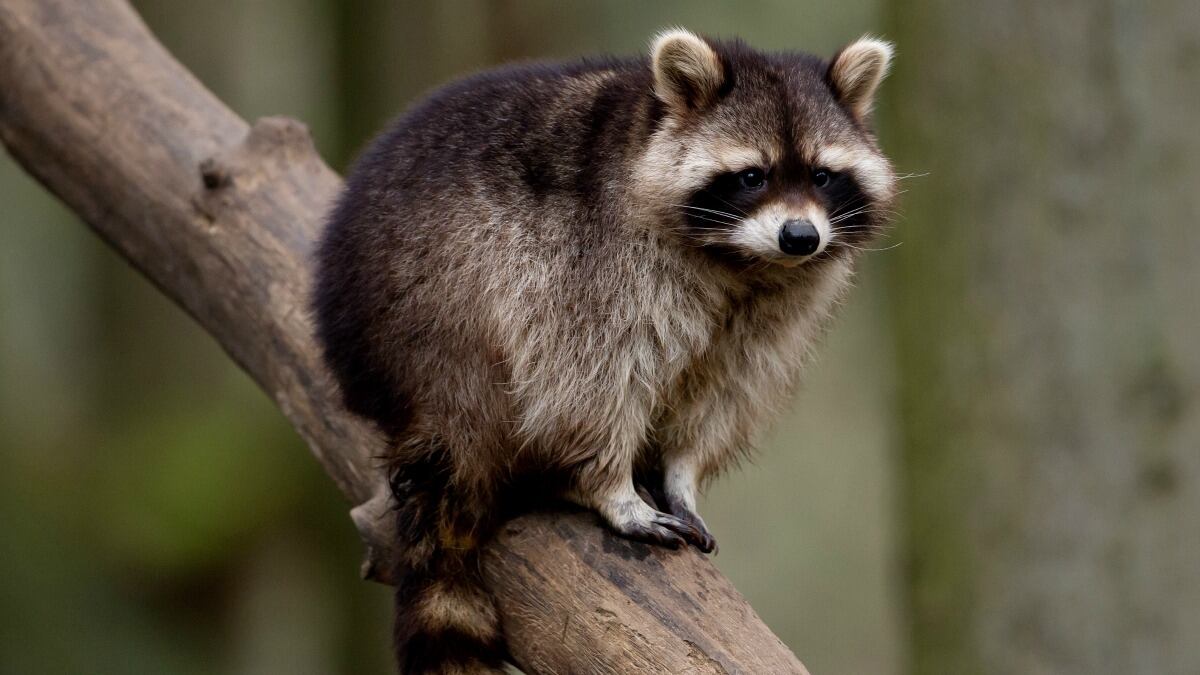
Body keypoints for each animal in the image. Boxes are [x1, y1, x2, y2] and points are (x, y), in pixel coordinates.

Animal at [314, 29, 897, 674]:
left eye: (822, 175)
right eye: (752, 176)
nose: (800, 237)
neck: (742, 261)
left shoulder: (770, 313)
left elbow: (721, 390)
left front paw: (681, 472)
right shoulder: (597, 261)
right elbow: (587, 379)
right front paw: (609, 485)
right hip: (440, 302)